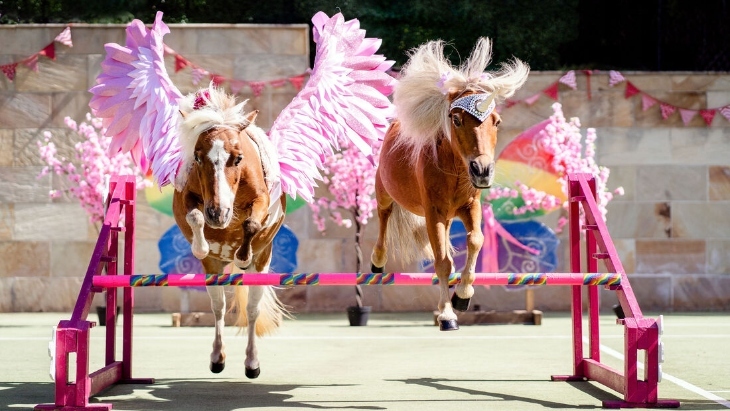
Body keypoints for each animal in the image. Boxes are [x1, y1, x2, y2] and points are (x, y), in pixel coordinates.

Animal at [171, 87, 288, 380]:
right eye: (198, 157)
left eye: (238, 158)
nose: (218, 213)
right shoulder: (189, 197)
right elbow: (194, 216)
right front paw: (201, 244)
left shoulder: (260, 199)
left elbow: (251, 224)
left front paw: (243, 254)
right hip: (213, 271)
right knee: (219, 307)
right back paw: (217, 358)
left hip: (261, 266)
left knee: (252, 310)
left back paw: (252, 363)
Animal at [370, 37, 528, 330]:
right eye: (456, 119)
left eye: (496, 121)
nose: (482, 170)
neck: (453, 171)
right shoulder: (435, 213)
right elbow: (442, 261)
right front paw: (447, 314)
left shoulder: (469, 206)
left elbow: (475, 240)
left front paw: (463, 296)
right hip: (384, 191)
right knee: (384, 216)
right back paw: (377, 261)